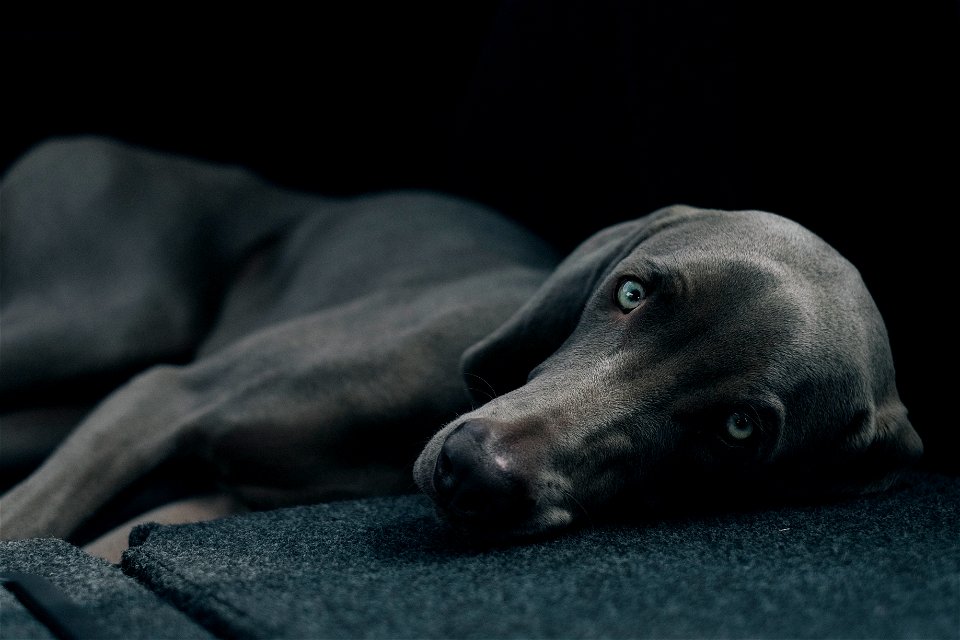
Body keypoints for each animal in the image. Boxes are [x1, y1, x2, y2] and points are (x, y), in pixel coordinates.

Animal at [0, 136, 924, 556]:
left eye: (739, 430)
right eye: (631, 293)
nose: (470, 471)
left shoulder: (215, 500)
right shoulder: (164, 396)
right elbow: (26, 522)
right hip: (100, 316)